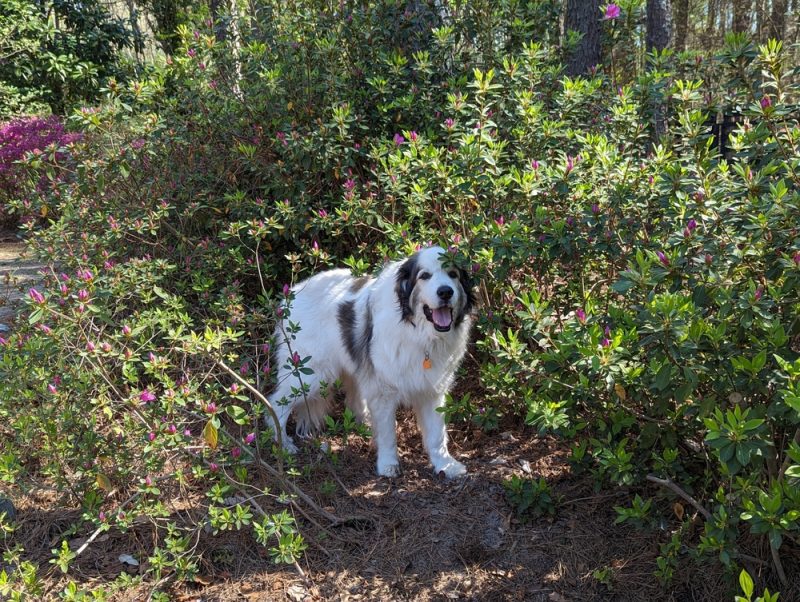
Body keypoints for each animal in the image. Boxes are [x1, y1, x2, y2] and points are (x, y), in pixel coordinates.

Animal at [268, 245, 472, 478]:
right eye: (424, 276)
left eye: (453, 274)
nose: (446, 292)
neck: (419, 333)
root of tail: (291, 294)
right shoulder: (384, 389)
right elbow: (387, 433)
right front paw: (388, 464)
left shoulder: (432, 390)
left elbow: (437, 434)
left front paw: (445, 464)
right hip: (308, 374)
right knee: (276, 404)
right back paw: (283, 444)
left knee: (355, 399)